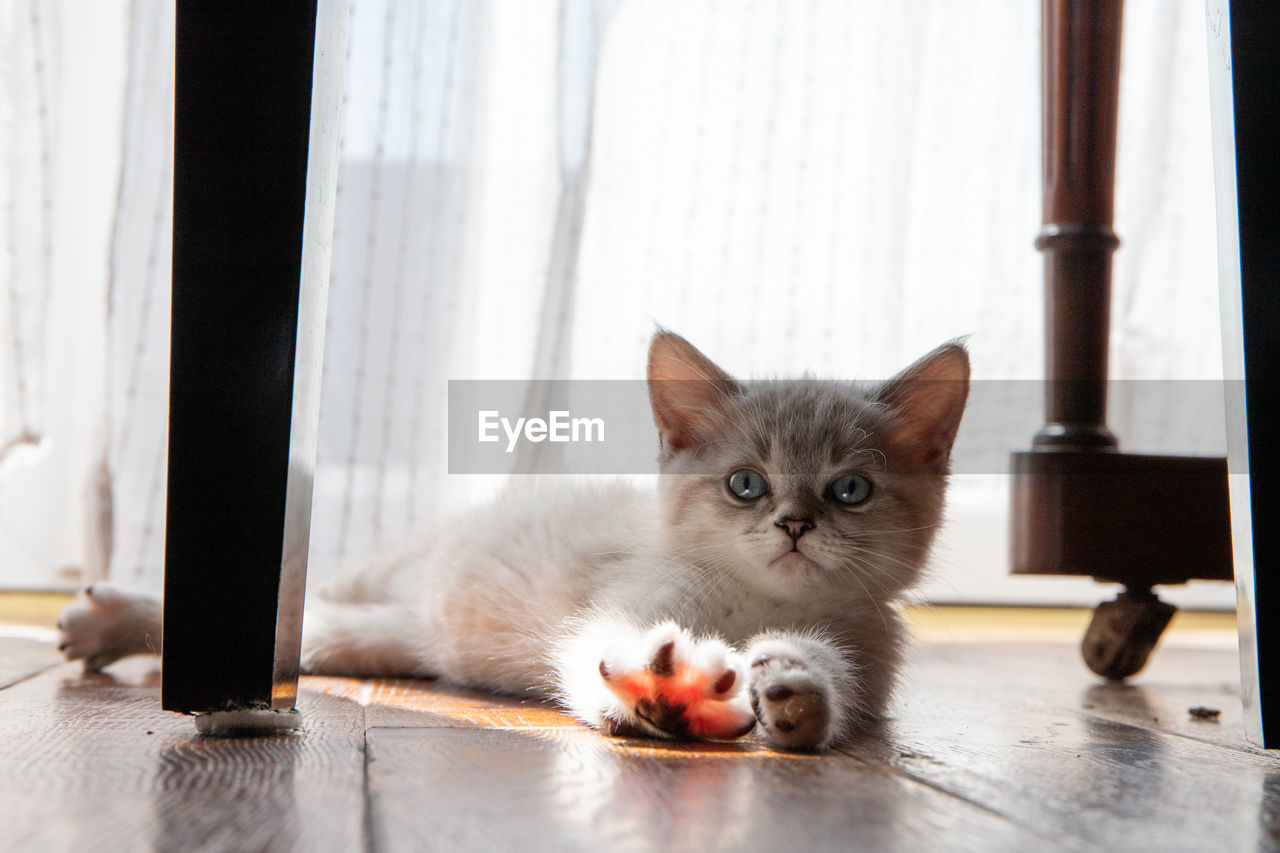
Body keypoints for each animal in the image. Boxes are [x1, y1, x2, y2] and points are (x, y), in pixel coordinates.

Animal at [55, 327, 962, 747]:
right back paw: (107, 621)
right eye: (747, 482)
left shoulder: (863, 647)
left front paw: (793, 692)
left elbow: (826, 680)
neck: (749, 601)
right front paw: (662, 686)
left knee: (303, 634)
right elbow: (606, 650)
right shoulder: (623, 606)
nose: (796, 523)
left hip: (371, 638)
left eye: (850, 489)